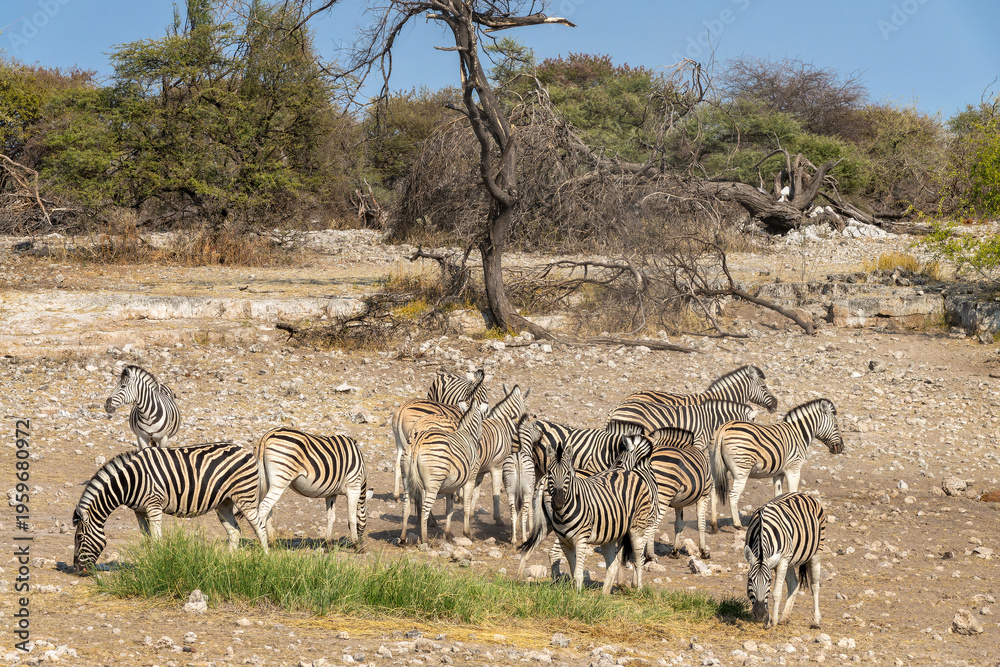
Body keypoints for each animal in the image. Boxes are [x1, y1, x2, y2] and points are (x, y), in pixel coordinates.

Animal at [72, 442, 268, 571]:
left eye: (79, 537)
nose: (76, 569)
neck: (130, 480)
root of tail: (245, 449)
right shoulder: (139, 511)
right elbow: (146, 538)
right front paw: (148, 562)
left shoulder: (153, 505)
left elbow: (157, 539)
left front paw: (157, 564)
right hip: (224, 503)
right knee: (234, 531)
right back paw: (228, 562)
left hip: (245, 496)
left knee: (260, 528)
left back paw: (266, 559)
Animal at [401, 401, 487, 544]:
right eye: (481, 420)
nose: (480, 439)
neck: (467, 433)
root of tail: (418, 442)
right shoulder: (471, 478)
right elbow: (466, 507)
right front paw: (467, 533)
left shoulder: (450, 486)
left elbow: (449, 510)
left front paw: (448, 534)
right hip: (433, 483)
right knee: (424, 509)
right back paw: (425, 540)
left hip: (408, 480)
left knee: (407, 507)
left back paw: (403, 538)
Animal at [517, 434, 658, 594]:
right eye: (551, 472)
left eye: (619, 461)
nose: (558, 502)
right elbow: (580, 571)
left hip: (548, 523)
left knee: (528, 549)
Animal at [712, 398, 844, 531]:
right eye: (836, 425)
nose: (841, 448)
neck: (798, 434)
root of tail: (724, 428)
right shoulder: (793, 469)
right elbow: (792, 492)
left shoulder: (778, 473)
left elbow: (778, 494)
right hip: (741, 470)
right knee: (733, 495)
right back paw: (737, 524)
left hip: (716, 467)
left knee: (713, 492)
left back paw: (714, 525)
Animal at [744, 491, 826, 629]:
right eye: (750, 579)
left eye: (769, 580)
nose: (760, 614)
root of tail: (803, 493)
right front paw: (768, 620)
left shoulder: (782, 560)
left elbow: (776, 593)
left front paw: (773, 622)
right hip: (790, 561)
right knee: (794, 584)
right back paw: (785, 617)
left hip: (816, 554)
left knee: (815, 586)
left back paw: (816, 621)